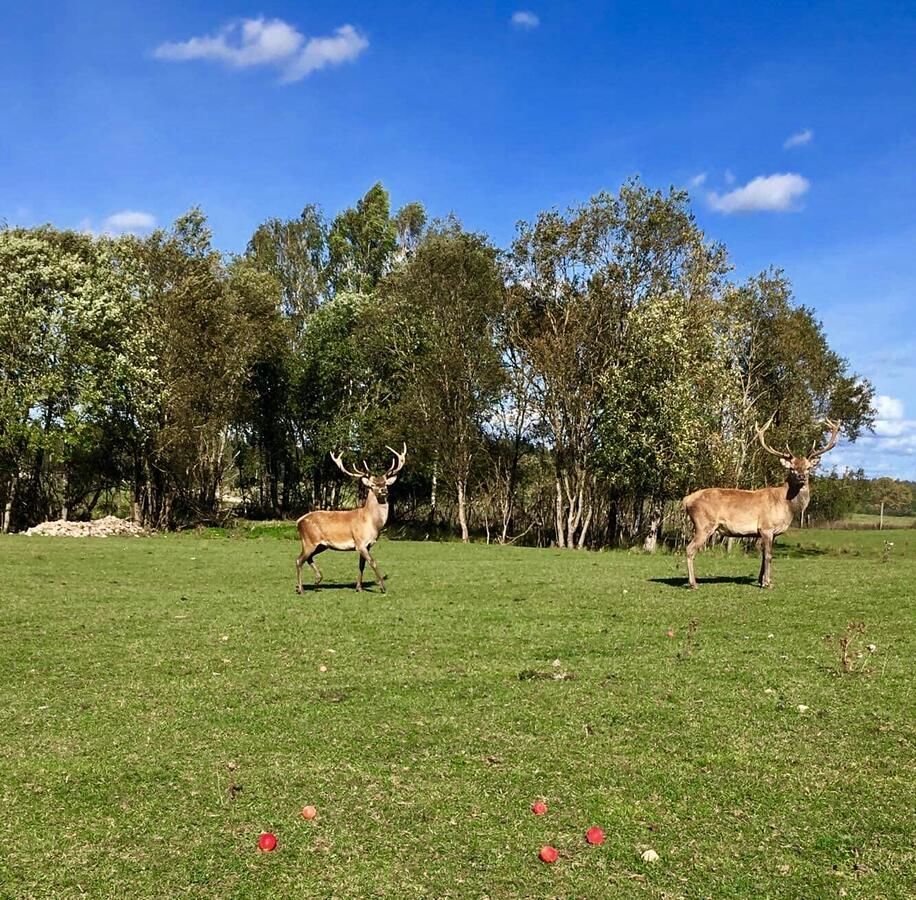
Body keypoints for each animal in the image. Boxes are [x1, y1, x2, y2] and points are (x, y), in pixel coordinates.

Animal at [296, 444, 406, 596]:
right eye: (372, 485)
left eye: (385, 483)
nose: (383, 490)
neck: (371, 522)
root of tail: (298, 521)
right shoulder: (360, 542)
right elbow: (373, 562)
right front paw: (383, 587)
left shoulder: (367, 545)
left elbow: (362, 565)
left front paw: (359, 587)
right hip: (309, 541)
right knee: (299, 560)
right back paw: (301, 588)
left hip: (321, 545)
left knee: (308, 558)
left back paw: (317, 579)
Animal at [684, 420, 840, 592]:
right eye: (792, 468)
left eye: (808, 467)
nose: (801, 476)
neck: (786, 505)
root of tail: (686, 500)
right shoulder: (766, 527)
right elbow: (769, 555)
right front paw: (768, 583)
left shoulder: (769, 532)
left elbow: (763, 555)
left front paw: (761, 580)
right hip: (704, 524)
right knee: (690, 548)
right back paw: (693, 583)